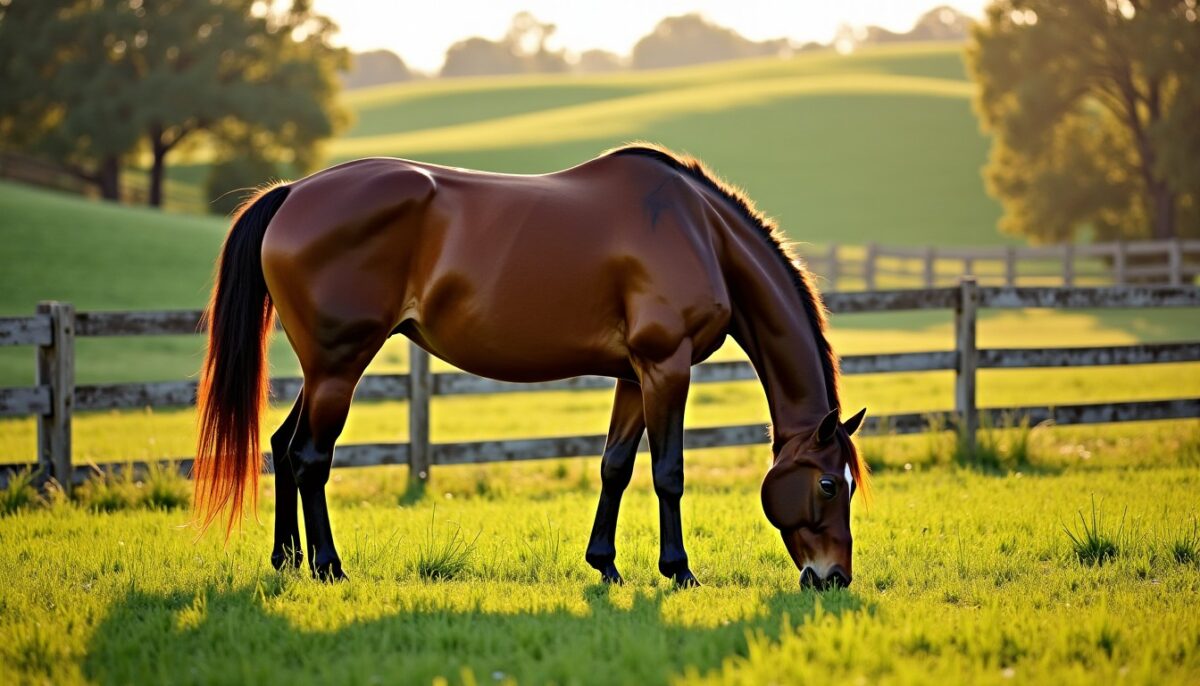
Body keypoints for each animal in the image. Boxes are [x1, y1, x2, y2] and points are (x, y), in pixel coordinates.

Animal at [194, 144, 870, 588]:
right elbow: (668, 473)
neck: (700, 232)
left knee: (282, 447)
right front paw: (678, 572)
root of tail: (292, 193)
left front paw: (605, 565)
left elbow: (615, 467)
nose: (833, 577)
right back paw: (330, 568)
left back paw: (286, 561)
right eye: (828, 483)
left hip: (322, 369)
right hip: (340, 364)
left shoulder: (635, 374)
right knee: (310, 457)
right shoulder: (666, 366)